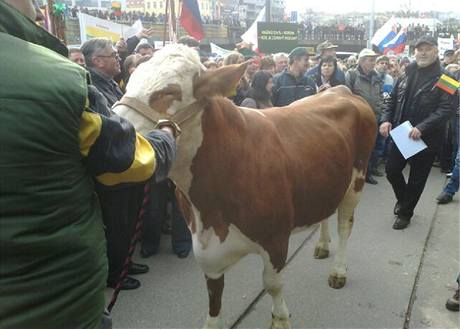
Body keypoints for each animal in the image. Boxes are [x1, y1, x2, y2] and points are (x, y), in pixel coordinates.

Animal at [112, 44, 378, 328]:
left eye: (169, 91)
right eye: (129, 83)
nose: (116, 128)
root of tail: (340, 90)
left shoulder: (276, 238)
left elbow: (272, 284)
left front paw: (280, 320)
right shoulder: (206, 248)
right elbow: (214, 296)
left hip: (356, 180)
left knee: (345, 225)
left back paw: (338, 270)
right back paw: (323, 245)